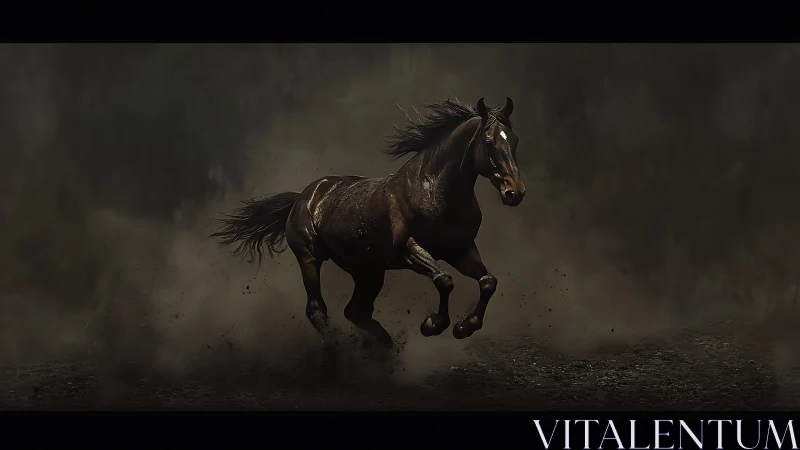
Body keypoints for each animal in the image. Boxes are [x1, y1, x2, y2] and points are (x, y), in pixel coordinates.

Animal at [211, 97, 525, 349]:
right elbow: (444, 280)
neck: (433, 189)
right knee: (317, 308)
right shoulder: (409, 249)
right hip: (310, 257)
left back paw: (384, 350)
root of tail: (303, 197)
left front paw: (464, 327)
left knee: (356, 311)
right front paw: (432, 324)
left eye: (514, 140)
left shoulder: (460, 249)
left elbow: (488, 282)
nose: (515, 193)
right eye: (489, 142)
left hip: (368, 270)